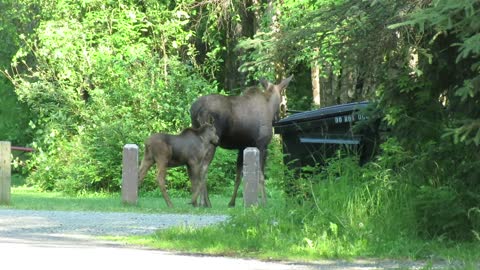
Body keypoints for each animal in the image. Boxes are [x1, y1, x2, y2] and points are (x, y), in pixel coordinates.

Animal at [190, 76, 292, 207]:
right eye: (282, 95)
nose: (279, 116)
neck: (270, 107)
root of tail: (195, 109)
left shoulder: (242, 147)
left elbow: (239, 176)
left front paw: (234, 202)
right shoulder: (262, 145)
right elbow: (260, 175)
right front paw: (264, 202)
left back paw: (199, 202)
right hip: (211, 141)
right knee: (203, 168)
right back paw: (204, 202)